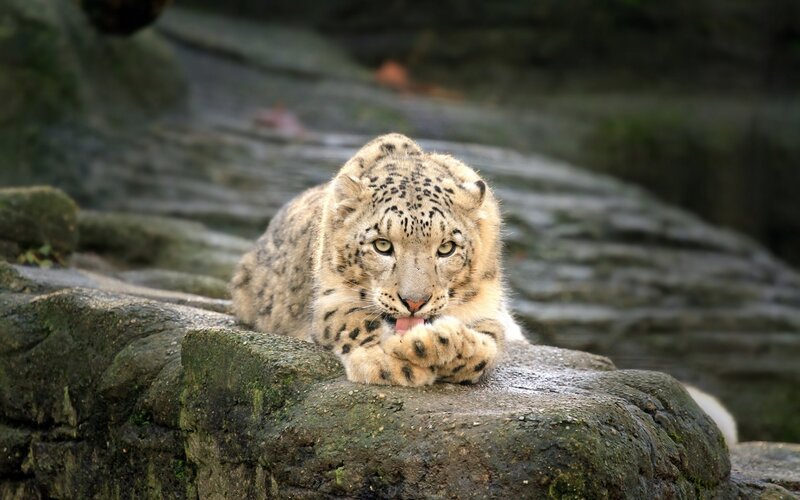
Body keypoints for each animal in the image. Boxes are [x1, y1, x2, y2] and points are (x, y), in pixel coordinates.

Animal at [230, 133, 524, 387]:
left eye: (446, 248)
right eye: (382, 245)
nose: (414, 302)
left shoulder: (486, 308)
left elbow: (486, 346)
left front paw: (431, 343)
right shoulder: (329, 299)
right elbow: (354, 320)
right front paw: (387, 362)